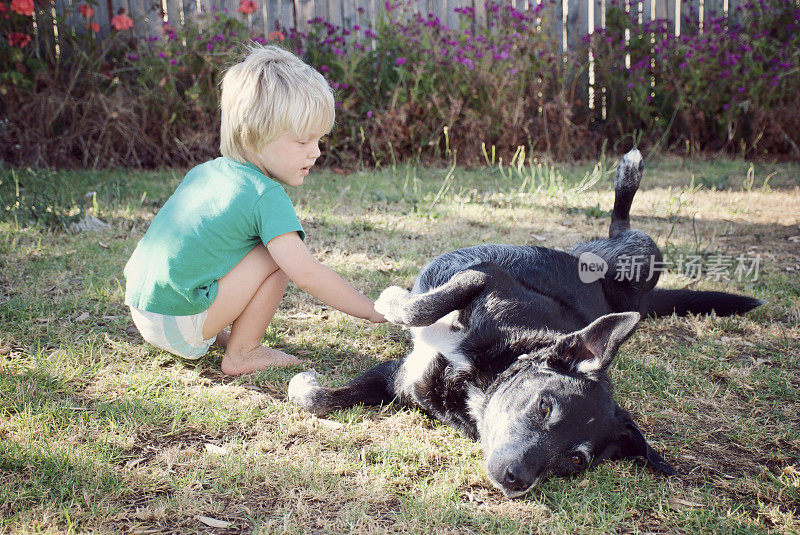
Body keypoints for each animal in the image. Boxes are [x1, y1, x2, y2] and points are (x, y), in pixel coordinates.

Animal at [290, 150, 764, 498]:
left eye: (575, 461)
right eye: (544, 406)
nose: (518, 480)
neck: (484, 374)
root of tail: (637, 300)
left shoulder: (403, 380)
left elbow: (321, 398)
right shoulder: (483, 277)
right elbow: (417, 309)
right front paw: (393, 300)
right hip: (635, 258)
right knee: (626, 226)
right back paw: (628, 174)